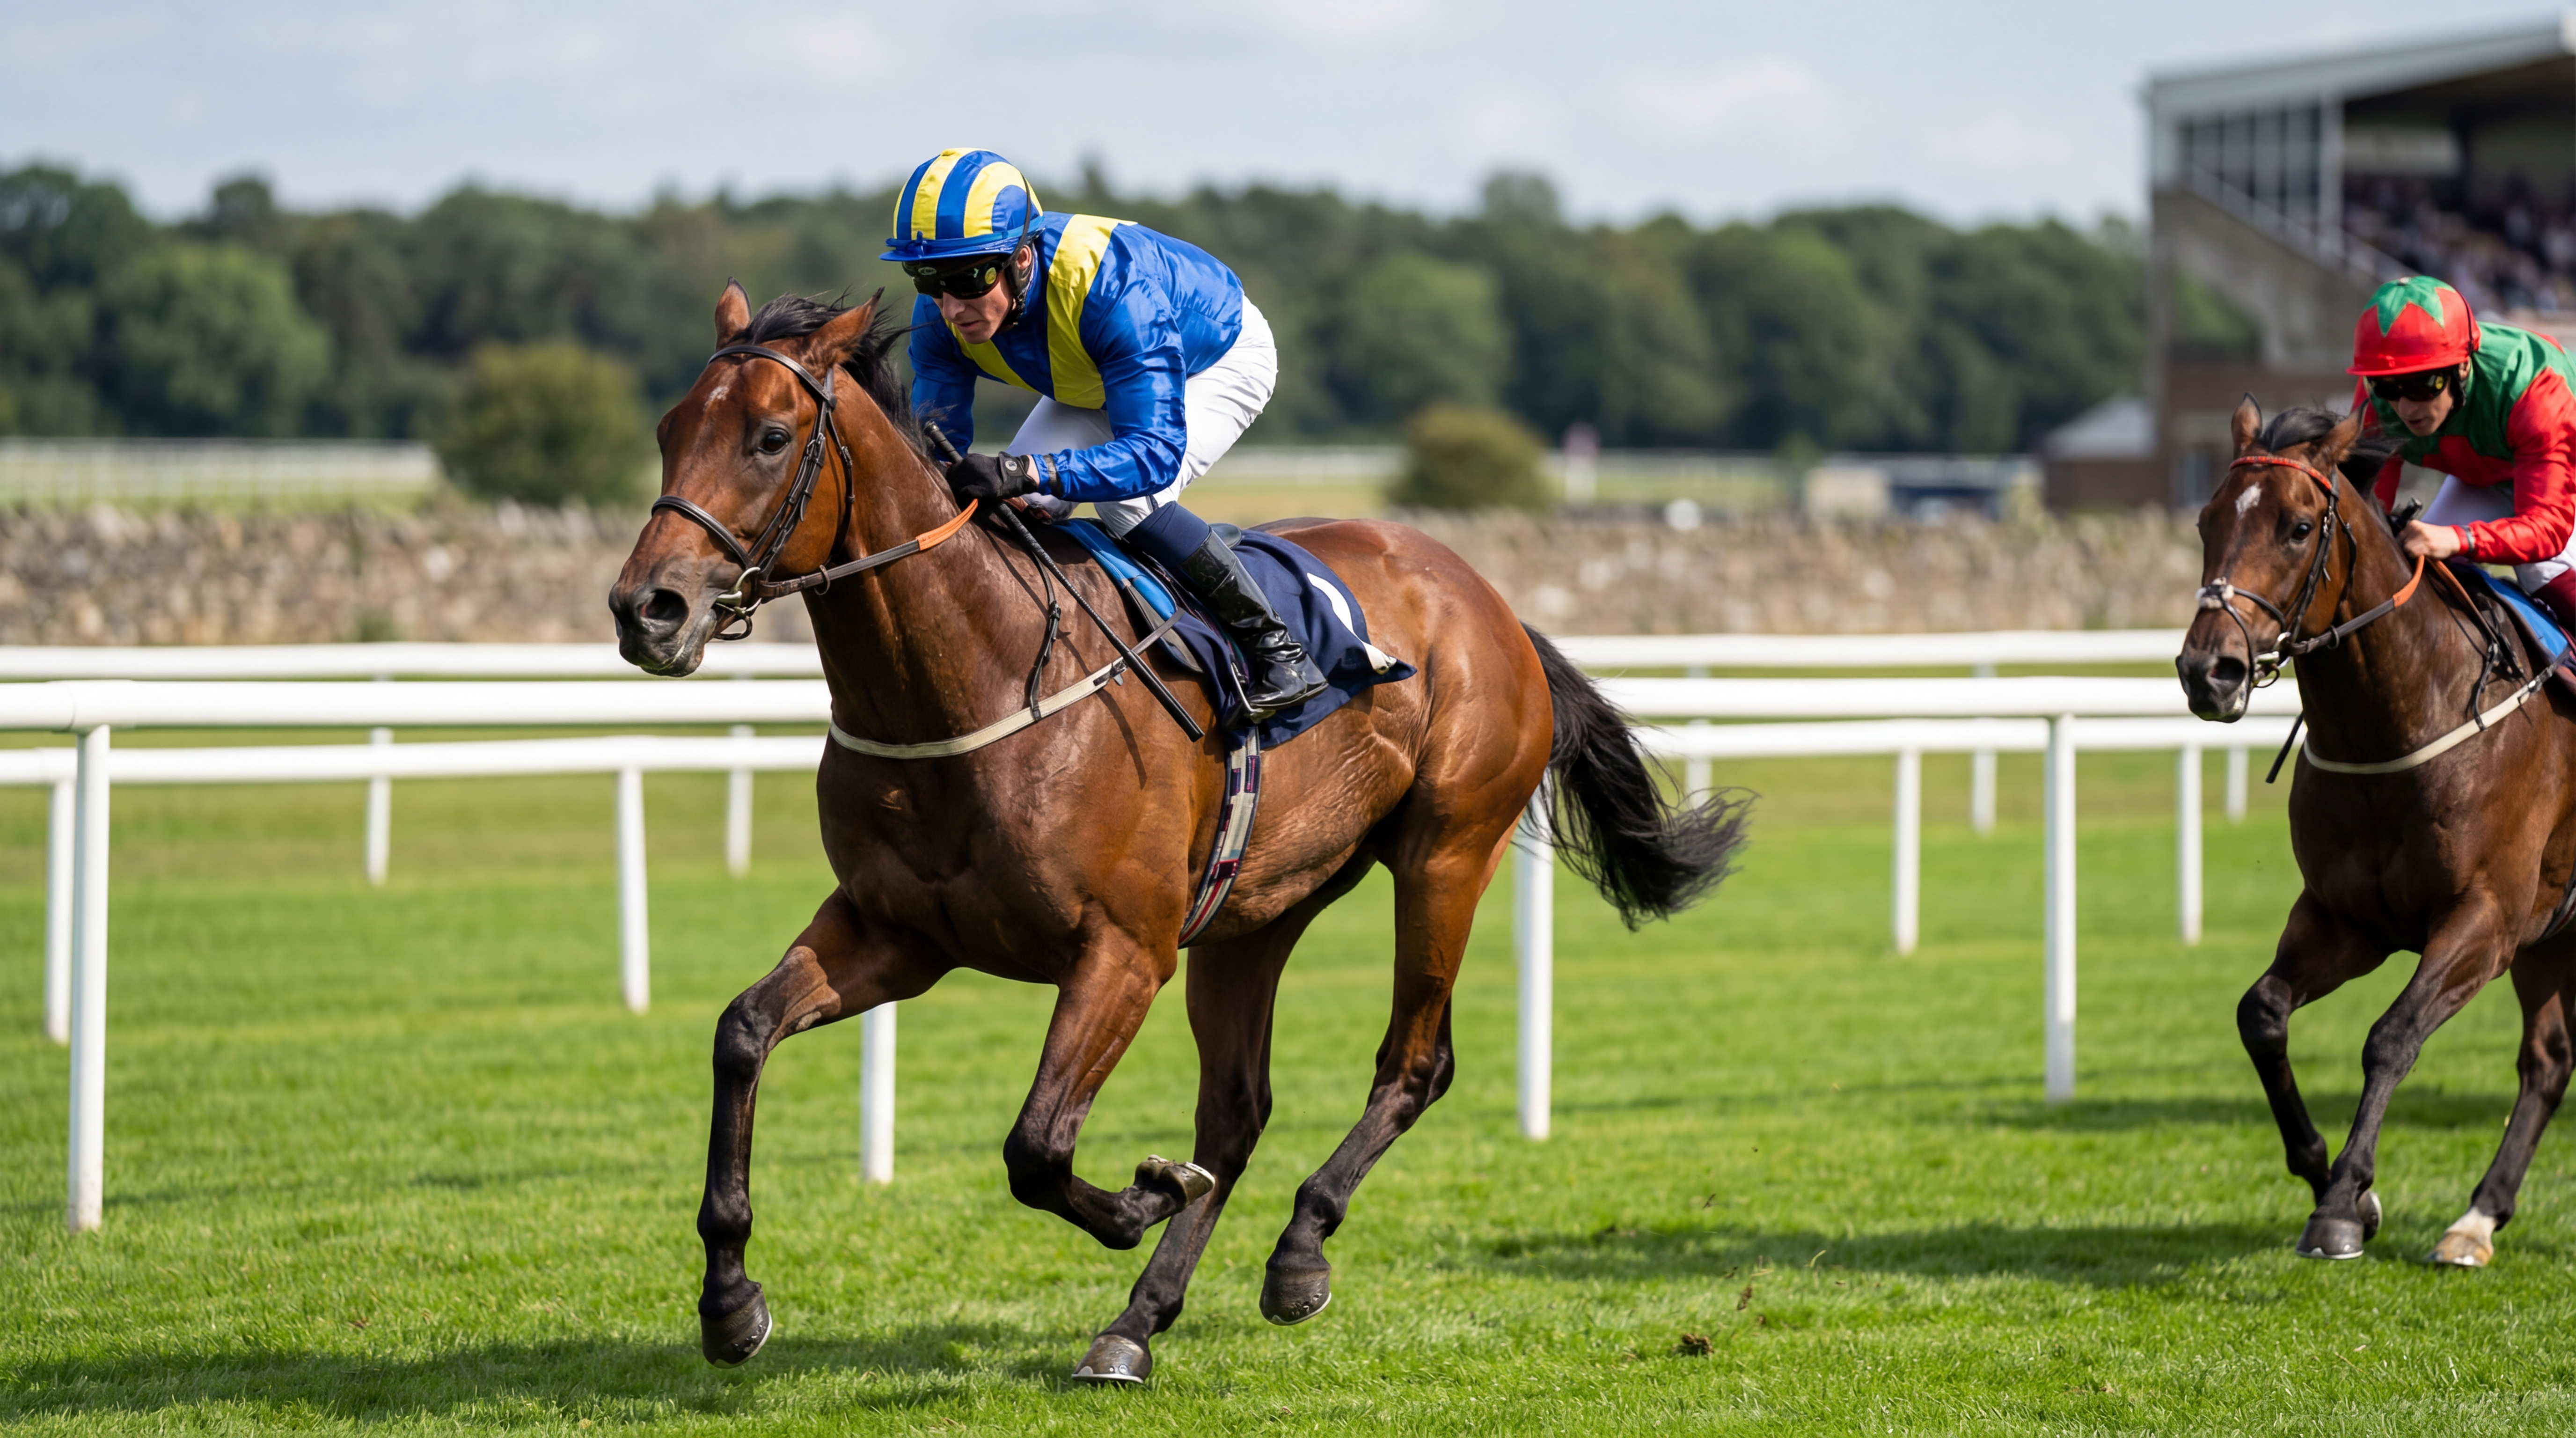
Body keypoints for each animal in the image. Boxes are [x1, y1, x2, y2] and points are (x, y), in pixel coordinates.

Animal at [608, 283, 1749, 1381]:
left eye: (768, 436)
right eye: (667, 429)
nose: (645, 608)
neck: (976, 678)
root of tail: (1490, 602)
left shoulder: (1122, 950)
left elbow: (1036, 1146)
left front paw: (1146, 1192)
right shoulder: (898, 933)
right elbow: (742, 1031)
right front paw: (729, 1301)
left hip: (1446, 853)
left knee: (1413, 1064)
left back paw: (1297, 1254)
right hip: (1256, 911)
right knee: (1236, 1112)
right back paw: (1135, 1325)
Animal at [2177, 396, 2576, 1267]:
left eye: (2298, 527)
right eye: (2204, 519)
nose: (2207, 671)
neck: (2400, 717)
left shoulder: (2485, 918)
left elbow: (2390, 1036)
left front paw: (2338, 1205)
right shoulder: (2344, 917)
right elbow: (2260, 1014)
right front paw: (2334, 1181)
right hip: (2550, 937)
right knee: (2547, 1060)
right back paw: (2476, 1220)